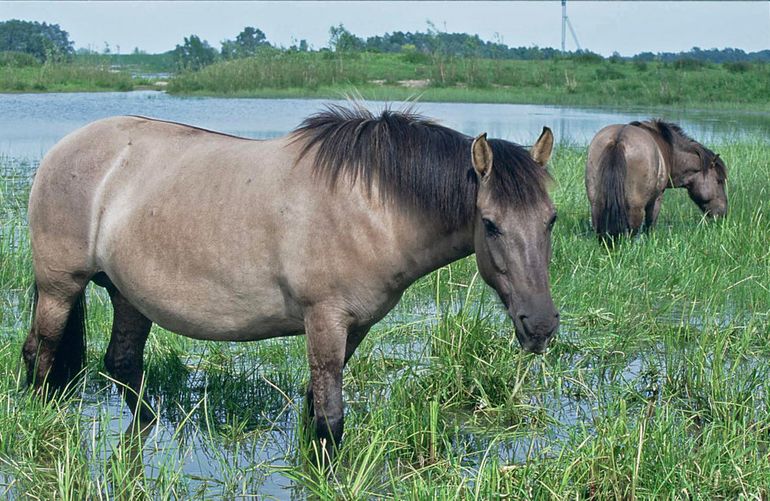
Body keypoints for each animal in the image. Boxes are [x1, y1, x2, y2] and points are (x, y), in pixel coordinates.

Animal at [21, 103, 556, 456]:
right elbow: (332, 418)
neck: (370, 205)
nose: (542, 325)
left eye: (550, 219)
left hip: (129, 296)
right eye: (490, 223)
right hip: (60, 288)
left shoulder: (353, 325)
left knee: (121, 363)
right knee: (41, 352)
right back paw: (41, 418)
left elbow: (316, 404)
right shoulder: (324, 319)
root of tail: (64, 149)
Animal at [584, 120, 728, 239]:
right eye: (719, 181)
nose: (724, 213)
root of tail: (618, 140)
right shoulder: (657, 197)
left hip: (596, 203)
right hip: (636, 207)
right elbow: (650, 225)